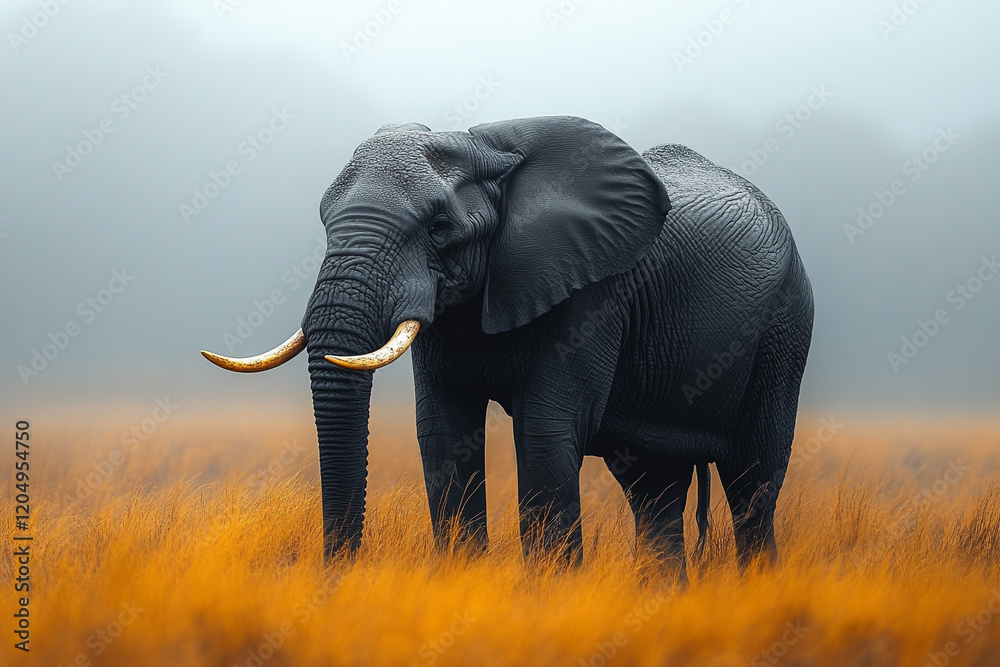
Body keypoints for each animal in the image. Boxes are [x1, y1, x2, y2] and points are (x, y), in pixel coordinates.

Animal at [201, 116, 814, 576]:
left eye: (439, 228)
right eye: (324, 220)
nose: (339, 577)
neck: (485, 148)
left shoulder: (590, 294)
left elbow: (545, 432)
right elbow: (442, 433)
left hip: (786, 327)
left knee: (753, 480)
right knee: (654, 489)